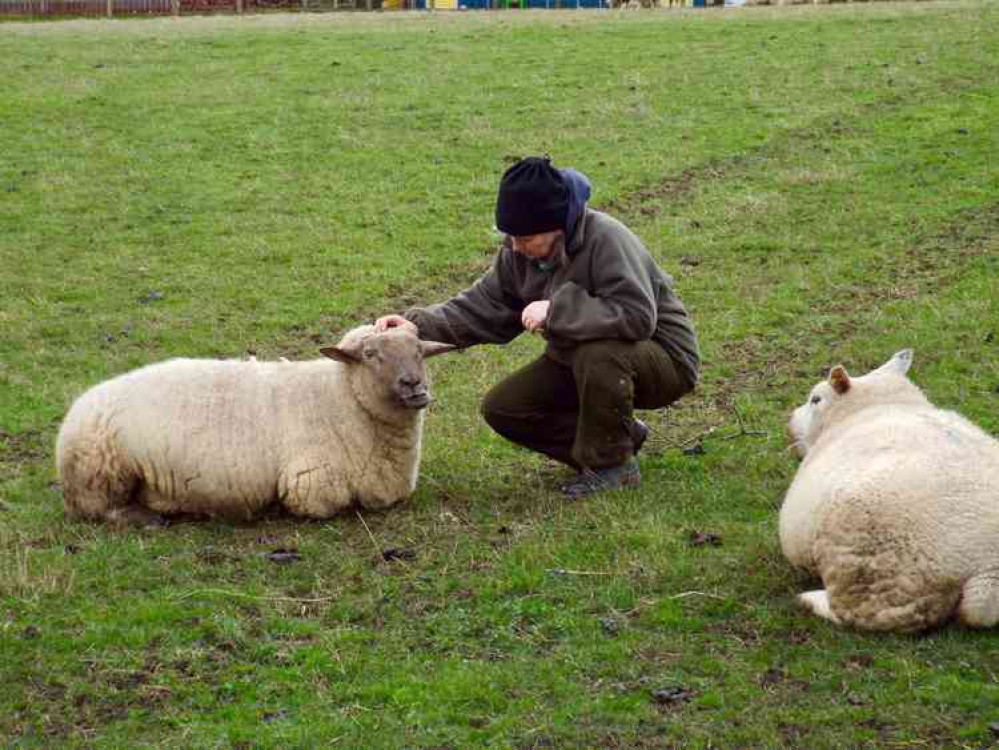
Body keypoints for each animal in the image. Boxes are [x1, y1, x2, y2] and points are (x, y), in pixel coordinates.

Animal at [56, 324, 456, 528]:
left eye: (420, 351)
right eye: (371, 355)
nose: (414, 385)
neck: (342, 398)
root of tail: (78, 408)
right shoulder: (310, 486)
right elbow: (325, 506)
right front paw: (274, 509)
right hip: (102, 474)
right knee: (101, 509)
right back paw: (153, 516)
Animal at [780, 352, 999, 636]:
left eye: (815, 399)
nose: (788, 422)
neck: (886, 404)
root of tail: (987, 569)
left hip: (874, 570)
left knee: (862, 613)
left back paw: (809, 600)